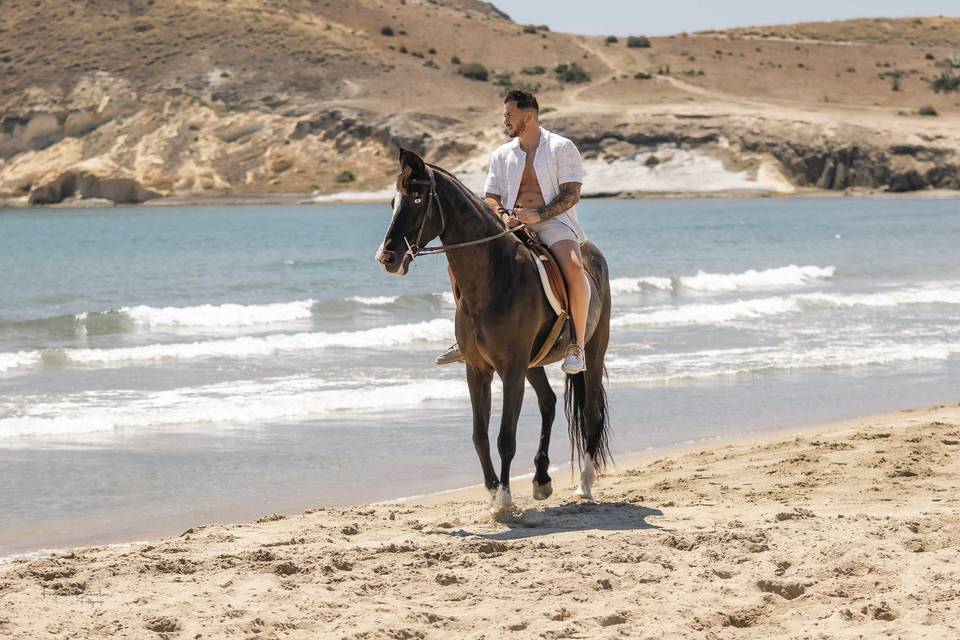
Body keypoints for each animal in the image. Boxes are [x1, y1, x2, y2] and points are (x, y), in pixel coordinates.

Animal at [375, 148, 612, 514]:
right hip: (533, 363)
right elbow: (480, 434)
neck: (494, 277)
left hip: (593, 353)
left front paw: (503, 499)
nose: (387, 257)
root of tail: (592, 252)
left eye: (416, 197)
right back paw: (541, 479)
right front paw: (490, 492)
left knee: (589, 413)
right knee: (548, 402)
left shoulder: (511, 369)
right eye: (392, 202)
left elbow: (505, 437)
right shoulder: (478, 370)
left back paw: (584, 485)